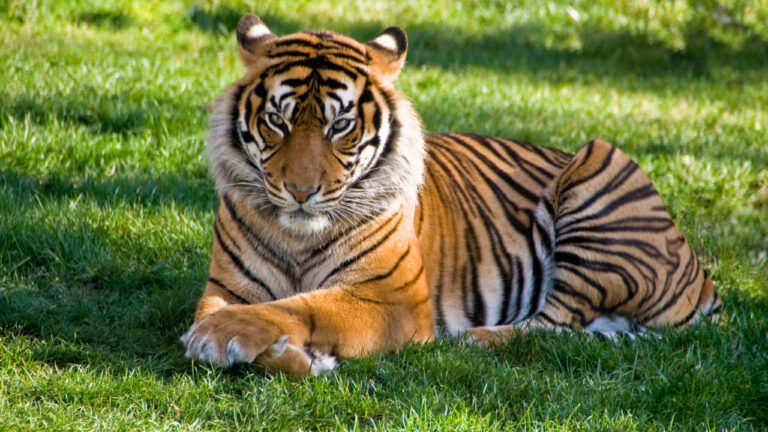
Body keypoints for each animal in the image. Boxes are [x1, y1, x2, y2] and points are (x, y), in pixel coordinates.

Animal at [180, 14, 721, 377]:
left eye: (340, 126)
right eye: (278, 120)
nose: (299, 191)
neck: (298, 236)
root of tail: (703, 278)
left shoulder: (392, 298)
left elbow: (302, 306)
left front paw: (220, 337)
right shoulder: (226, 285)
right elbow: (240, 310)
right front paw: (288, 355)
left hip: (600, 162)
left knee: (555, 323)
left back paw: (473, 339)